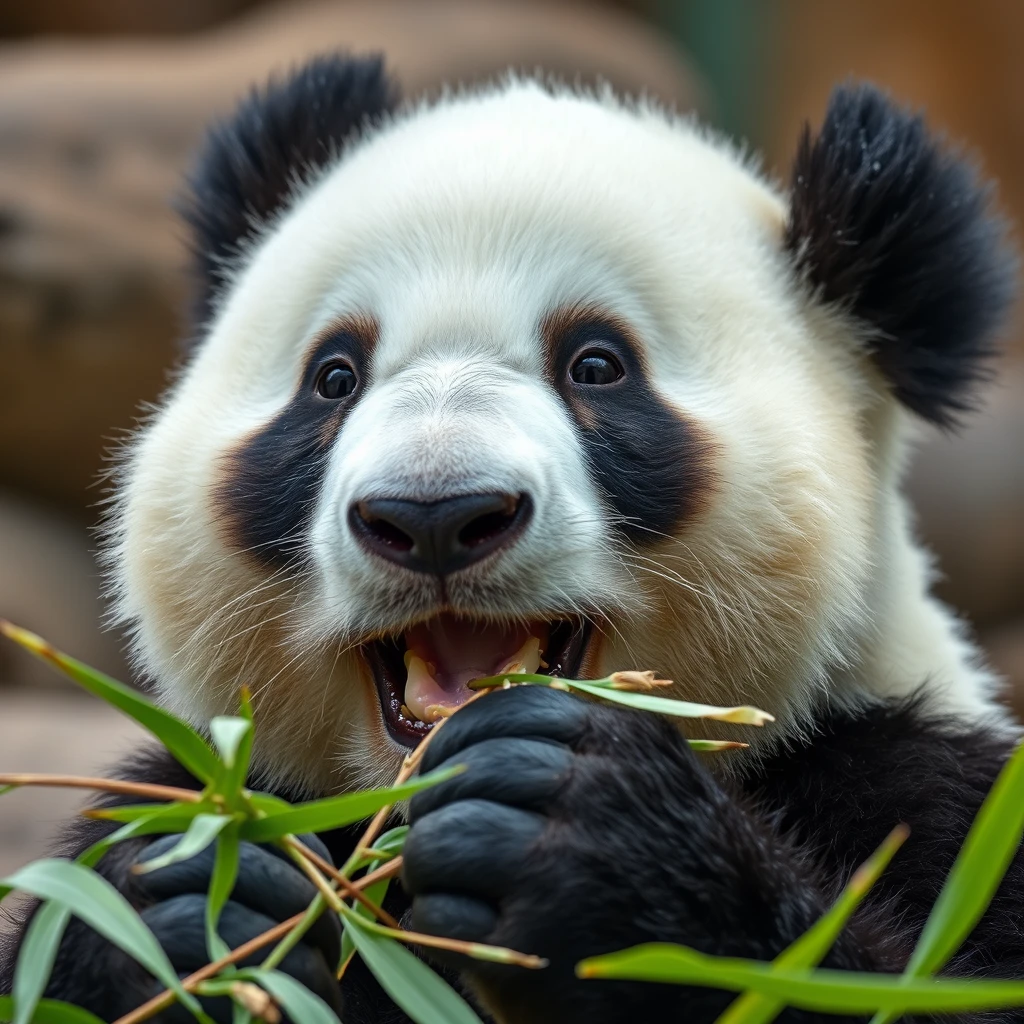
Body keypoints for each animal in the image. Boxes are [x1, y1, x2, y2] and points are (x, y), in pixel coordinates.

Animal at [2, 54, 1024, 1024]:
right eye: (334, 376)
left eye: (597, 365)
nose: (434, 516)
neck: (399, 816)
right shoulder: (202, 777)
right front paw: (187, 910)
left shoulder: (922, 785)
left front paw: (586, 843)